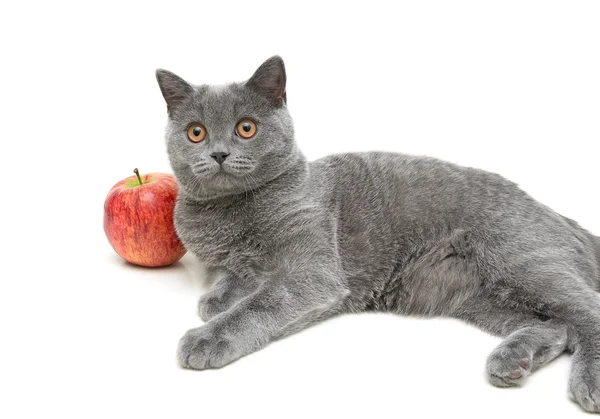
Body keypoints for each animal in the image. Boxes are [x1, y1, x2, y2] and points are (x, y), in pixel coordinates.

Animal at [156, 55, 600, 414]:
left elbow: (263, 302)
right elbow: (229, 285)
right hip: (479, 296)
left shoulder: (314, 272)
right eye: (196, 132)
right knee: (557, 327)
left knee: (587, 310)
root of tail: (554, 211)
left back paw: (588, 383)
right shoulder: (231, 262)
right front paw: (218, 299)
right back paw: (513, 361)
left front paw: (207, 338)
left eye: (246, 128)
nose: (218, 153)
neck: (234, 212)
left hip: (518, 257)